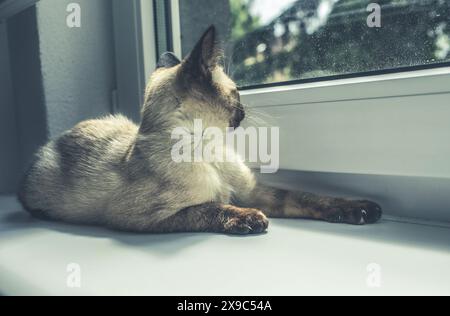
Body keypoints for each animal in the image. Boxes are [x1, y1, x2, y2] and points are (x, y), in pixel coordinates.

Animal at [18, 26, 384, 235]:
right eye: (238, 92)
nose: (245, 109)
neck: (208, 148)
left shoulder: (254, 191)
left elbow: (307, 197)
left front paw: (361, 209)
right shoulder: (140, 218)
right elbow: (210, 208)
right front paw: (251, 219)